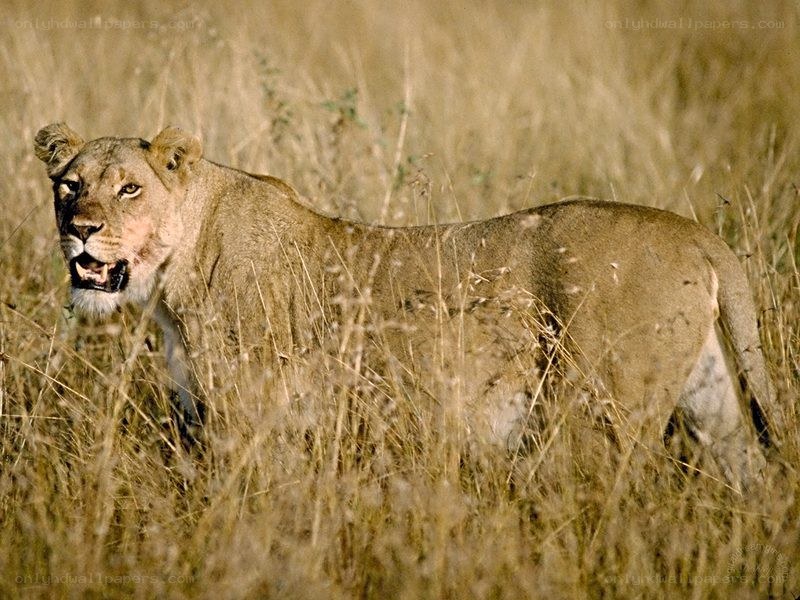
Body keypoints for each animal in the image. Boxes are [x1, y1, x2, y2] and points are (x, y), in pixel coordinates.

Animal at [34, 122, 777, 489]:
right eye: (69, 185)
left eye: (129, 188)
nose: (81, 229)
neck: (173, 271)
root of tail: (699, 235)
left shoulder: (253, 423)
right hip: (714, 405)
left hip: (596, 418)